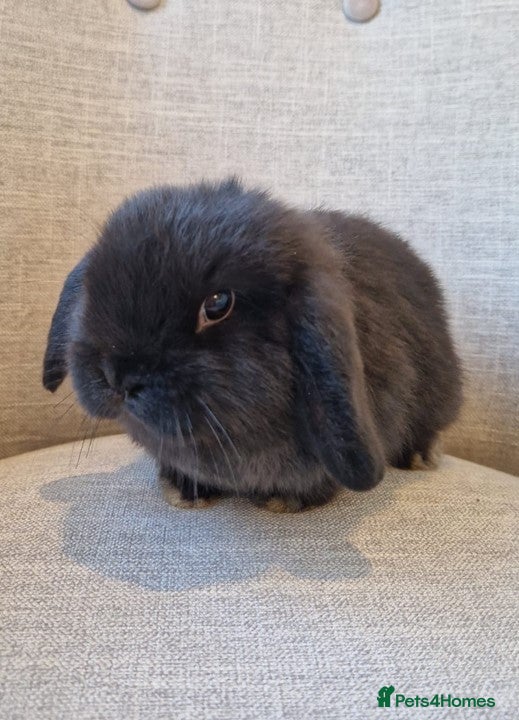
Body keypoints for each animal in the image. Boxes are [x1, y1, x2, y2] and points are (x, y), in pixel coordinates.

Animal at [43, 178, 462, 512]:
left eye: (217, 304)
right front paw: (184, 489)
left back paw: (422, 455)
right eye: (94, 286)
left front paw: (285, 500)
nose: (117, 376)